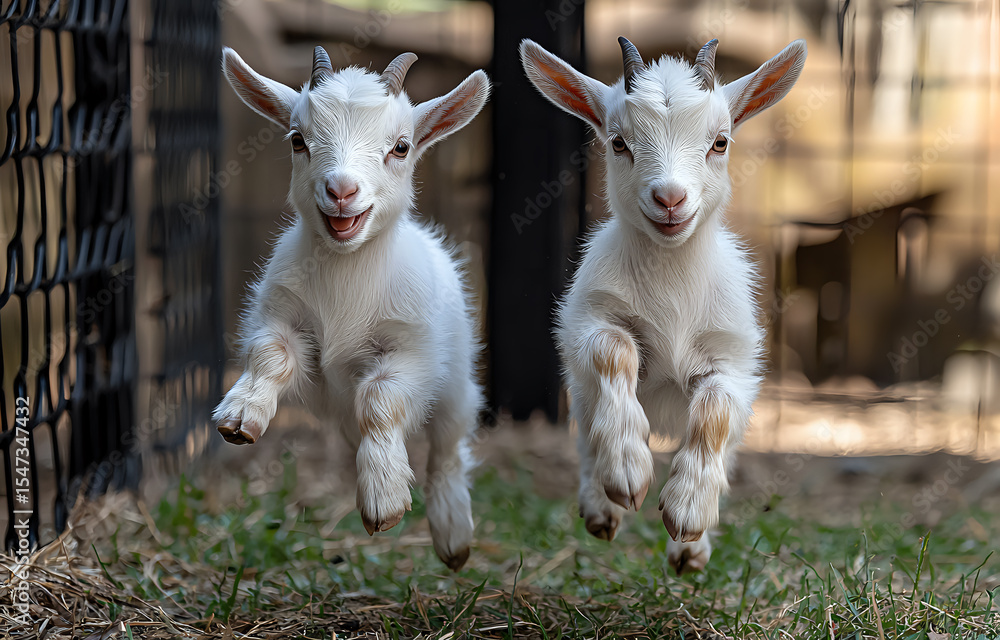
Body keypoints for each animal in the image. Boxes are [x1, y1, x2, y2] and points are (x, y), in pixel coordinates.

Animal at [214, 46, 490, 571]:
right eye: (297, 139)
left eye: (401, 146)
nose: (341, 191)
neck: (346, 281)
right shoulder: (281, 314)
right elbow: (271, 357)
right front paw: (241, 416)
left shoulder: (412, 351)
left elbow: (379, 399)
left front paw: (383, 498)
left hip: (456, 386)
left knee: (447, 449)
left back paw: (453, 535)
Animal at [521, 37, 806, 572]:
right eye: (618, 142)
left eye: (720, 142)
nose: (670, 198)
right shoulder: (588, 321)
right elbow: (614, 350)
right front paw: (628, 471)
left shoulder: (734, 359)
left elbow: (714, 411)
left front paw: (688, 512)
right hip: (579, 386)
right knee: (587, 432)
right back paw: (602, 507)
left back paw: (689, 552)